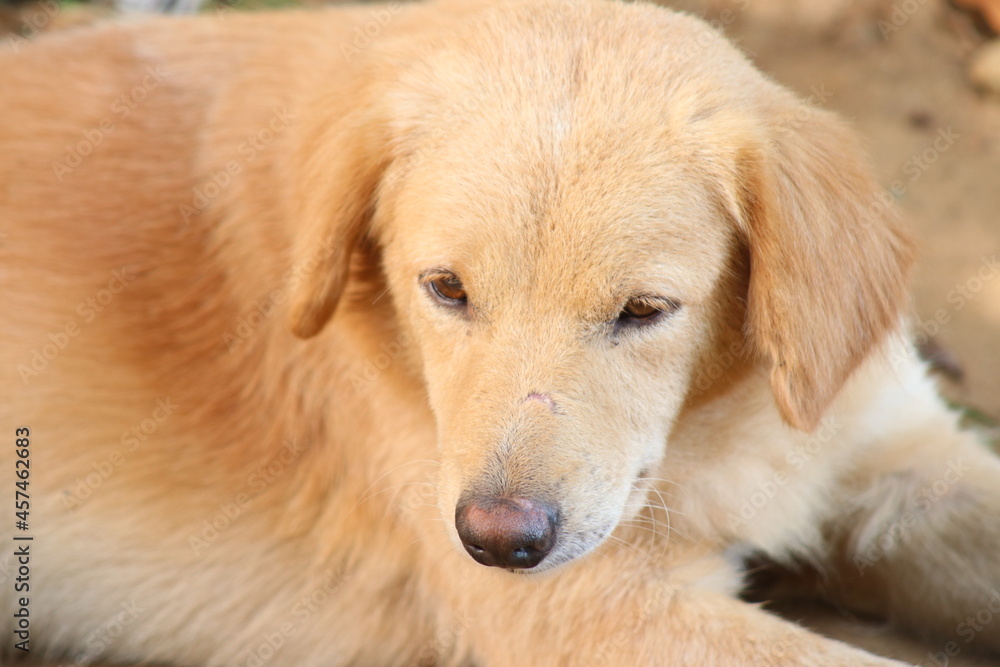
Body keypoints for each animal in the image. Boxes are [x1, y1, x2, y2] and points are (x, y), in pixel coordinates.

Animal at [1, 1, 1000, 664]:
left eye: (645, 310)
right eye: (445, 289)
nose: (497, 543)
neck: (719, 422)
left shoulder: (901, 464)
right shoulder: (602, 614)